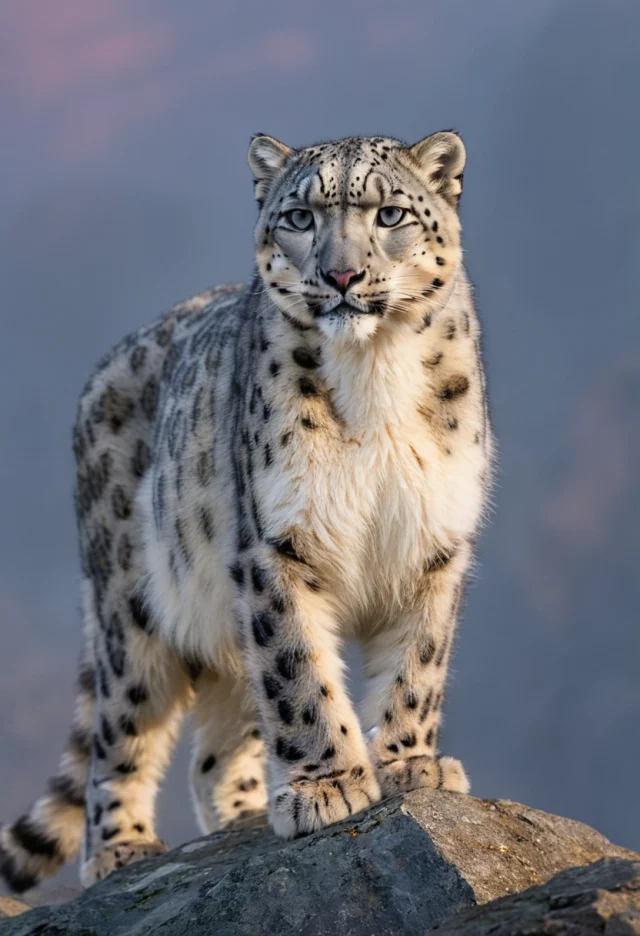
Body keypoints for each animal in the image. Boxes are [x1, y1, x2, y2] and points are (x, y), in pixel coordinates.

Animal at [0, 129, 492, 892]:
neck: (375, 373)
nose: (341, 276)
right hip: (130, 609)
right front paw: (329, 786)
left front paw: (411, 764)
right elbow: (299, 674)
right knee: (121, 730)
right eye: (299, 217)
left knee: (217, 745)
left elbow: (418, 664)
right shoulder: (277, 544)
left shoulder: (432, 539)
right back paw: (123, 849)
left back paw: (242, 815)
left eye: (389, 215)